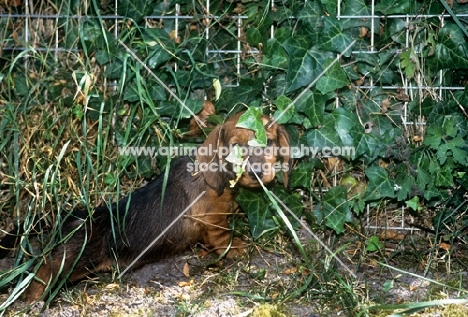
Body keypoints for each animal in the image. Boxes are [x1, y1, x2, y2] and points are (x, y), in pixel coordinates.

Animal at [0, 110, 290, 302]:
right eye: (235, 148)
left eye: (269, 142)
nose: (257, 173)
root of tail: (71, 216)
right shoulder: (212, 219)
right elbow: (222, 236)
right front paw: (236, 247)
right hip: (68, 262)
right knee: (43, 273)